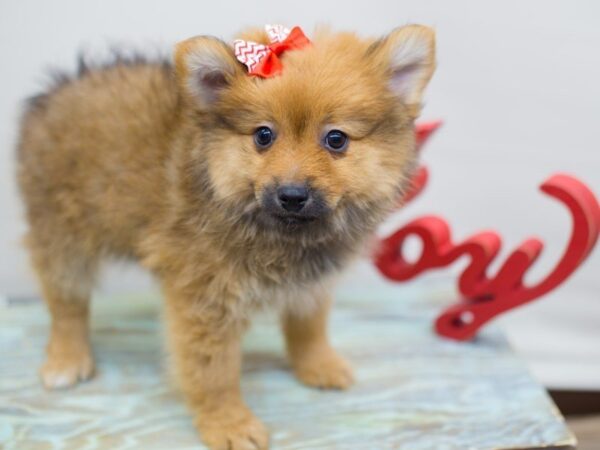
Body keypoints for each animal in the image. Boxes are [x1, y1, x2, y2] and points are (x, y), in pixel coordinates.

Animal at [15, 24, 436, 450]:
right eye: (263, 135)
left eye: (336, 139)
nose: (292, 194)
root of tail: (62, 87)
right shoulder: (205, 299)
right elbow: (214, 372)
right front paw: (228, 423)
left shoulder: (310, 283)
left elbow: (309, 326)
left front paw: (318, 364)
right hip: (63, 236)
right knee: (67, 306)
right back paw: (66, 359)